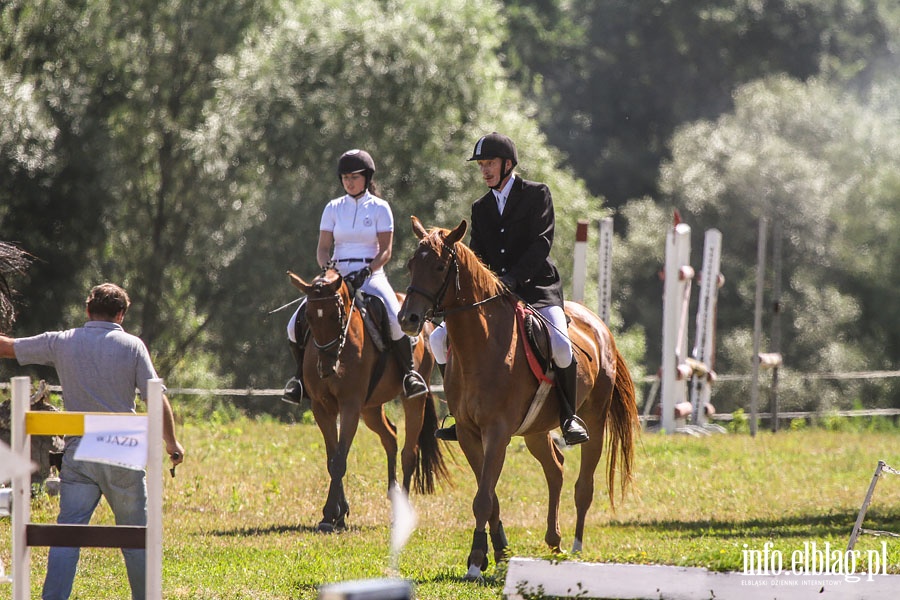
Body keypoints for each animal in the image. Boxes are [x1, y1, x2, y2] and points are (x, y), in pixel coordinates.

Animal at [286, 270, 448, 532]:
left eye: (336, 316)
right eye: (308, 317)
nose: (326, 368)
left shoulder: (350, 406)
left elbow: (339, 460)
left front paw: (331, 515)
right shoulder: (321, 407)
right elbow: (333, 458)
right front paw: (337, 515)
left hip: (412, 400)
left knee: (409, 453)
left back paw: (401, 514)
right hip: (370, 408)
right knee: (390, 436)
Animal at [400, 218, 640, 580]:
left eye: (440, 267)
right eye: (413, 264)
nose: (408, 319)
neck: (481, 345)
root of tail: (599, 325)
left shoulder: (497, 432)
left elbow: (483, 498)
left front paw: (475, 561)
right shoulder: (469, 433)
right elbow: (489, 496)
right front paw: (498, 553)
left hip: (595, 421)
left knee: (583, 486)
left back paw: (576, 547)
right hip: (535, 431)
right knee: (556, 469)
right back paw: (553, 542)